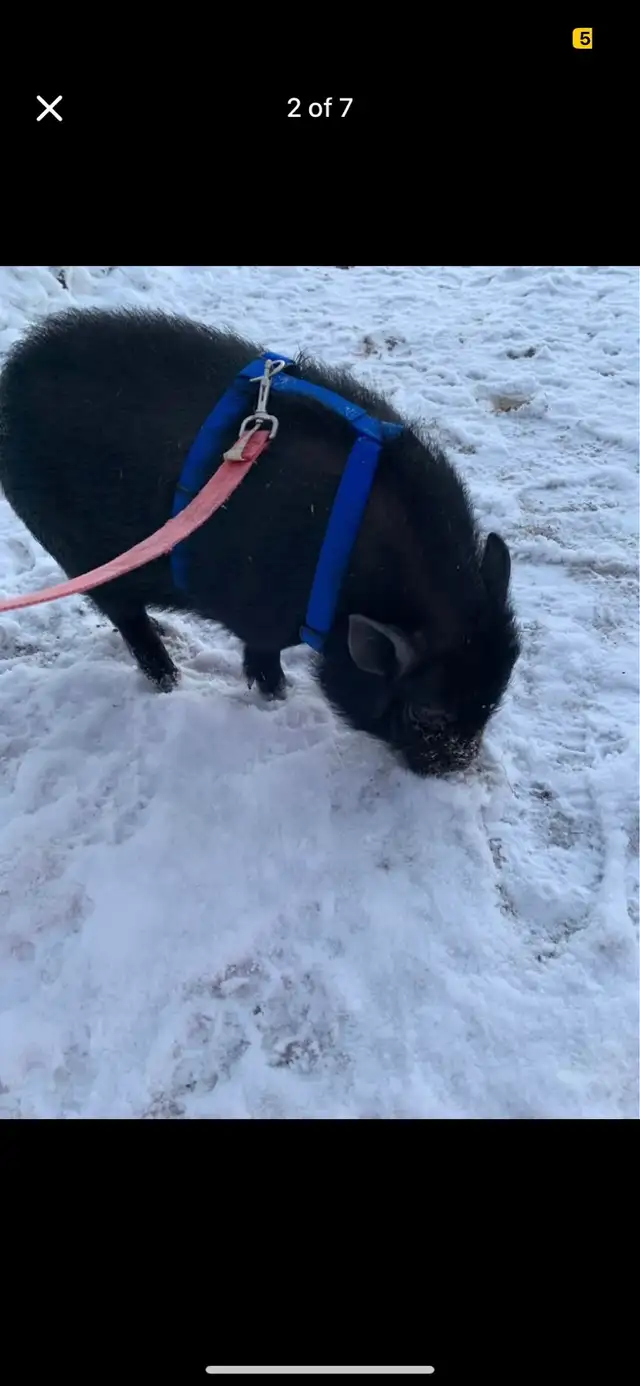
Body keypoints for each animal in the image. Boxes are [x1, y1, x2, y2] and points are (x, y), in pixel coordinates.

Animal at [0, 308, 521, 777]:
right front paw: (277, 693)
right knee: (124, 616)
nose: (456, 767)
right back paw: (170, 678)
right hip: (76, 550)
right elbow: (262, 656)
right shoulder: (262, 616)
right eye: (425, 713)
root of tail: (13, 372)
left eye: (493, 701)